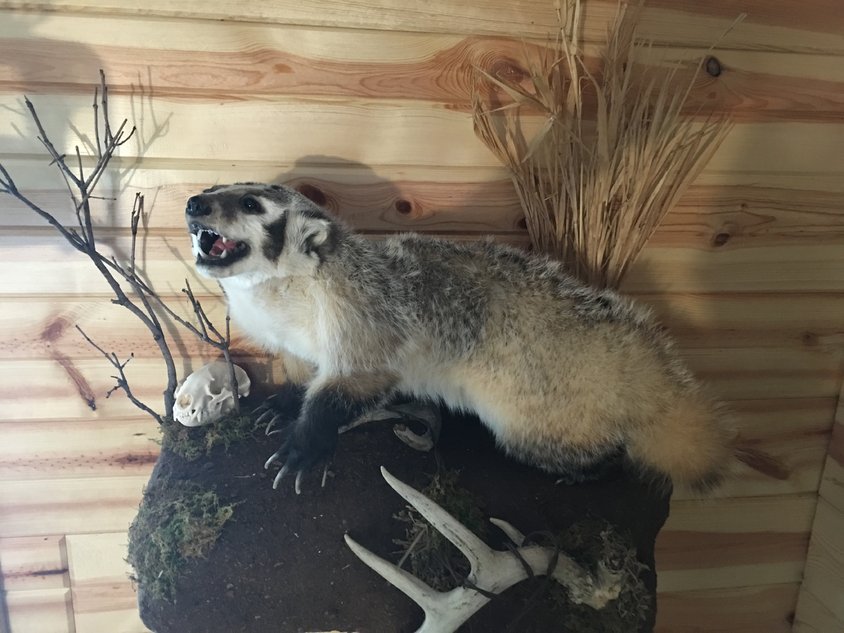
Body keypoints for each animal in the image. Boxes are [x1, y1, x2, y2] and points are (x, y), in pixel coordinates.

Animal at [185, 182, 785, 492]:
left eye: (250, 204)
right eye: (214, 190)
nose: (193, 203)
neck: (282, 299)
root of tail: (646, 370)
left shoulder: (360, 316)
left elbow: (357, 381)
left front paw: (303, 447)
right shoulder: (290, 341)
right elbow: (302, 373)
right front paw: (280, 406)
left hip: (540, 419)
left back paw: (586, 471)